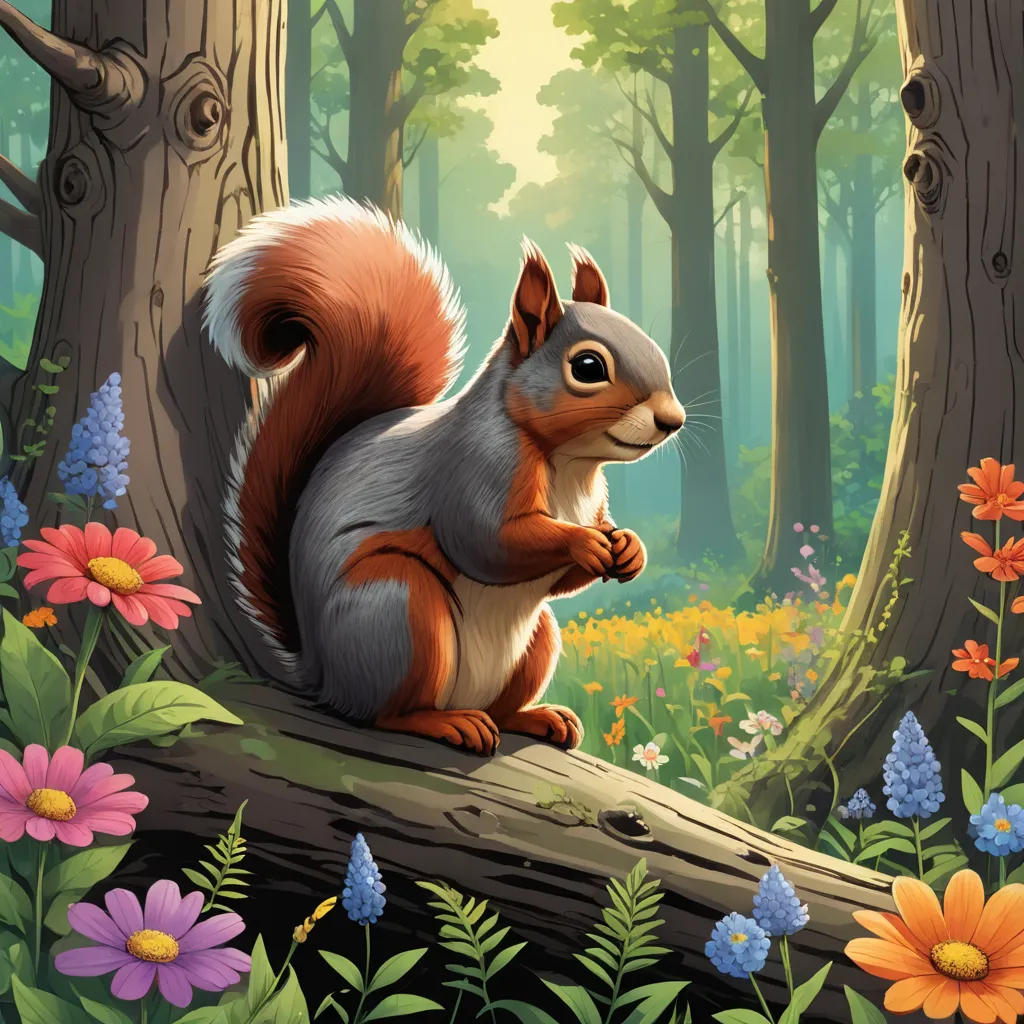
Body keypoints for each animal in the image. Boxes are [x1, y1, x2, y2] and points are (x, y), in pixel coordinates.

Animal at [201, 197, 684, 756]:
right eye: (587, 366)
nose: (673, 420)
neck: (570, 464)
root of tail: (321, 674)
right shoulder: (473, 470)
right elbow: (486, 543)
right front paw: (582, 542)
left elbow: (568, 573)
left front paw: (628, 547)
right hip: (397, 609)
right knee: (385, 713)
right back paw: (445, 724)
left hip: (535, 639)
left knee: (504, 704)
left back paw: (538, 717)